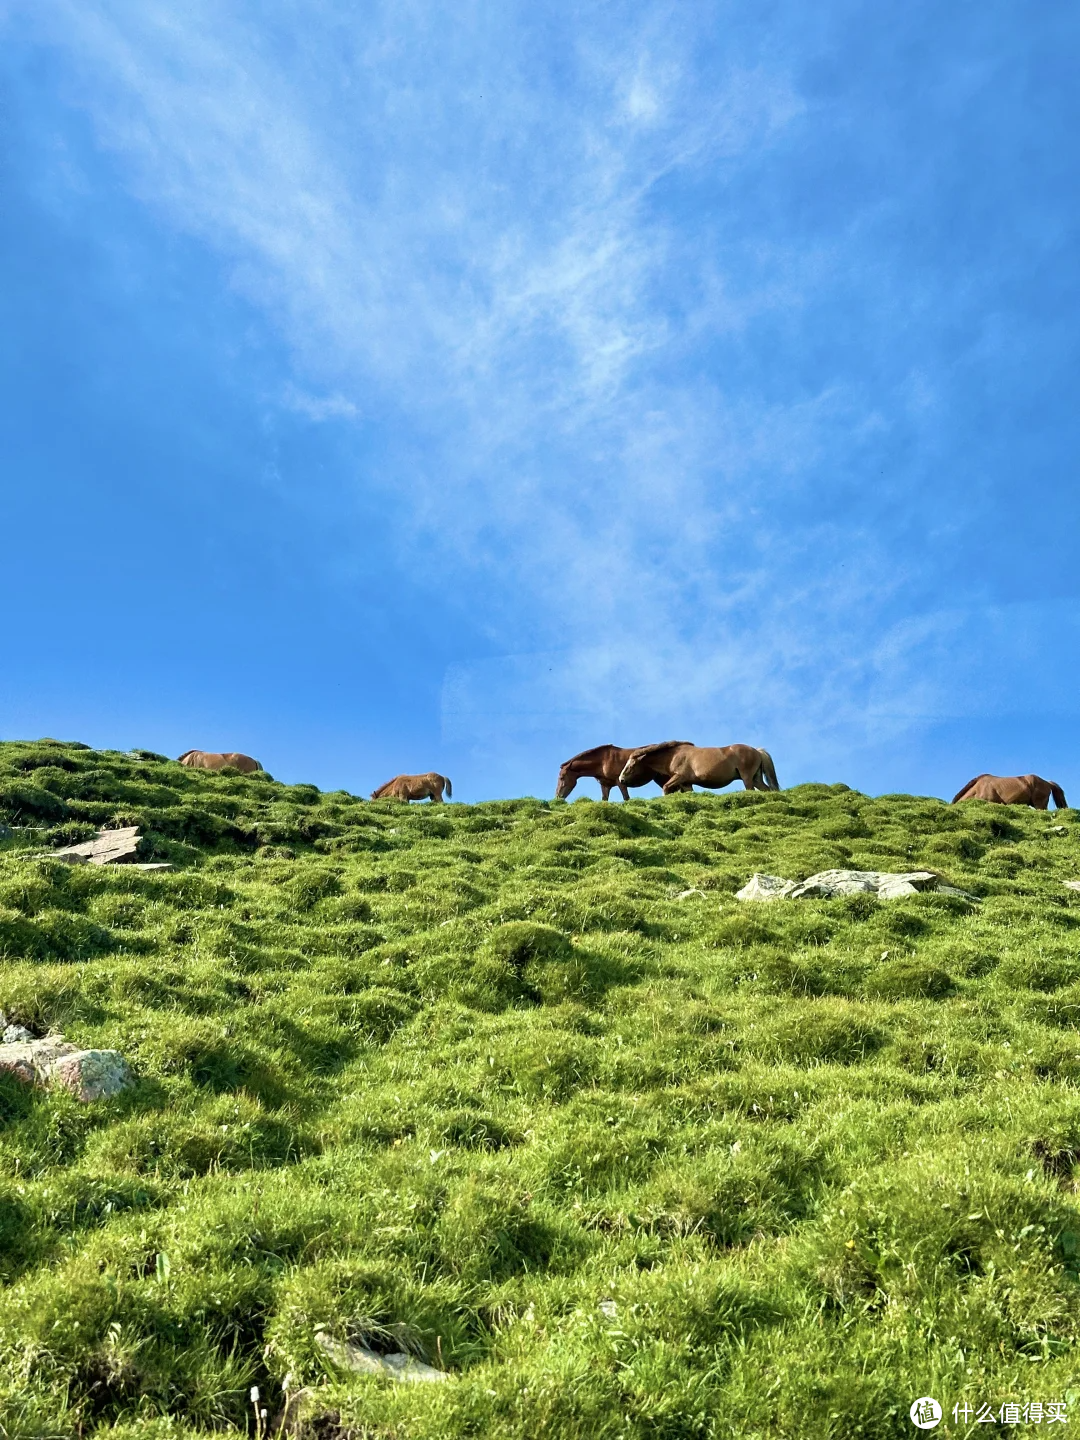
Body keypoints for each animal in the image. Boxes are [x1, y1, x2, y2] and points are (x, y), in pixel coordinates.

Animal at [552, 743, 696, 800]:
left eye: (562, 777)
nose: (558, 796)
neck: (602, 761)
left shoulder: (620, 782)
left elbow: (626, 798)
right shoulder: (605, 785)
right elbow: (604, 800)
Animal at [616, 743, 777, 800]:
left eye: (630, 765)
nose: (621, 779)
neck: (673, 756)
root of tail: (757, 751)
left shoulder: (680, 777)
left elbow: (666, 787)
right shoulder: (686, 783)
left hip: (747, 777)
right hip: (756, 778)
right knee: (767, 789)